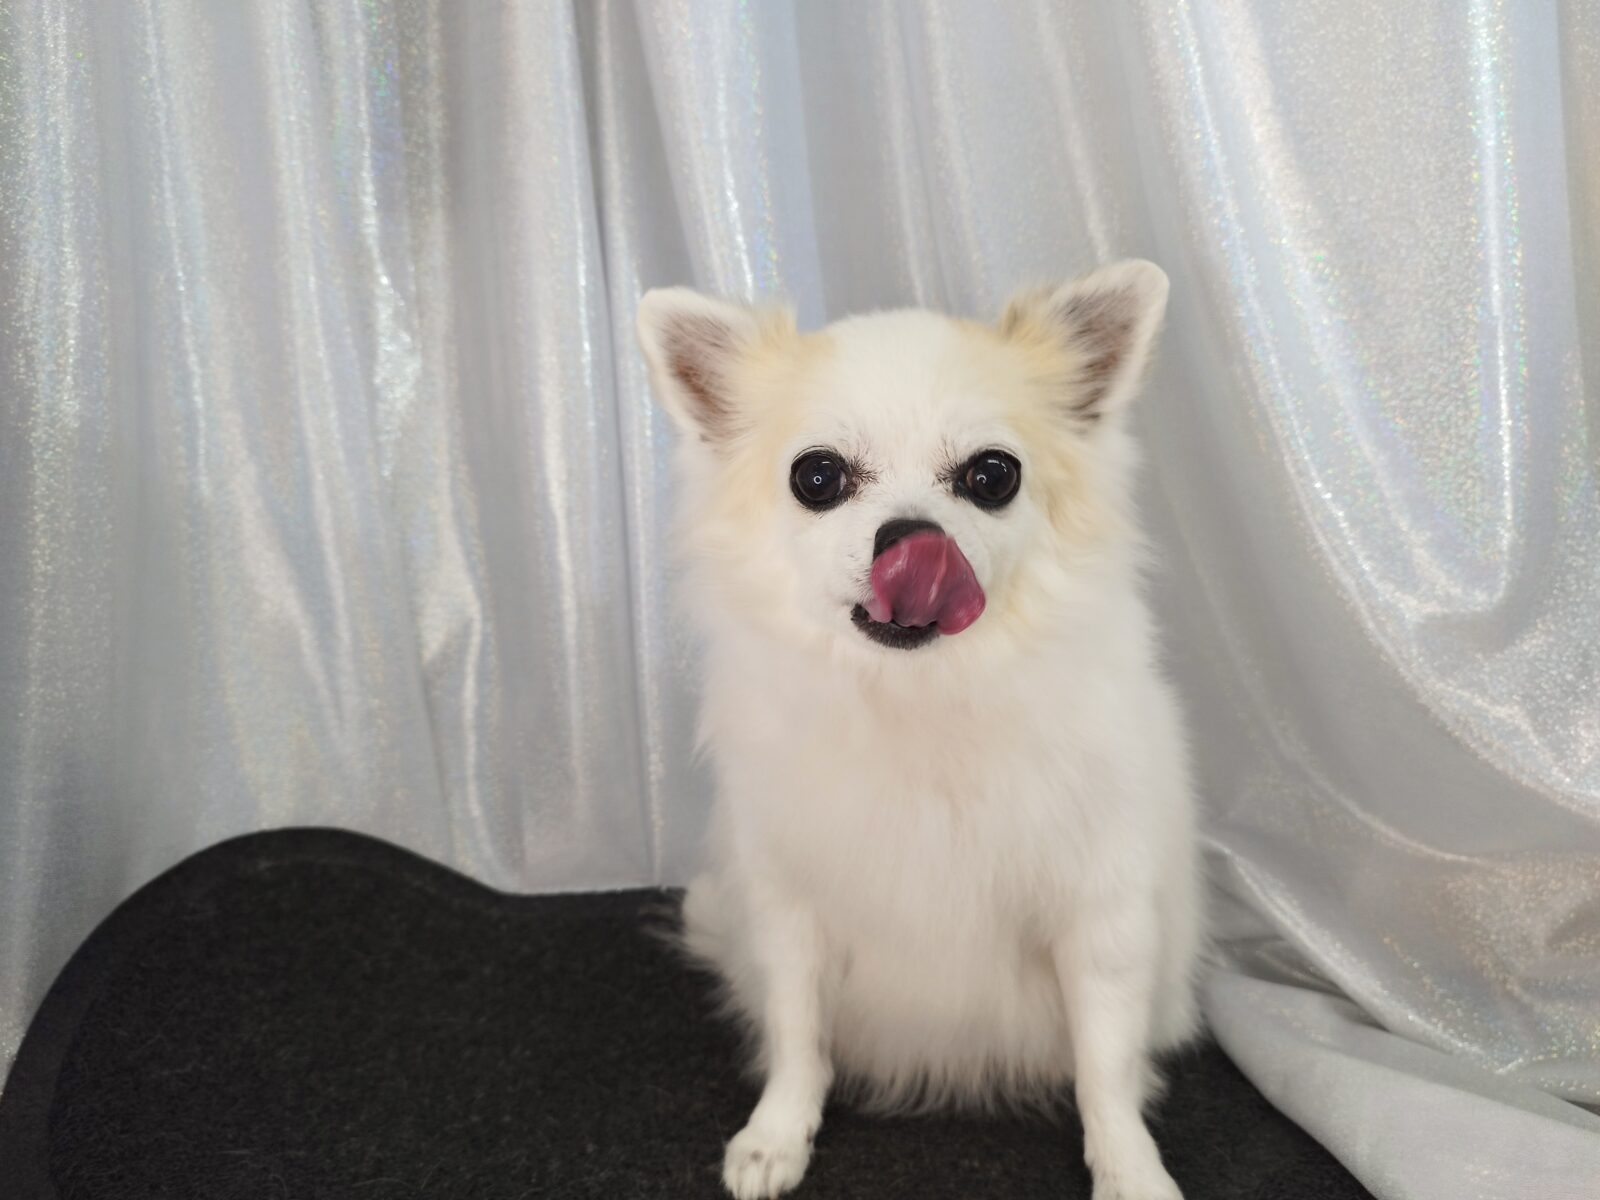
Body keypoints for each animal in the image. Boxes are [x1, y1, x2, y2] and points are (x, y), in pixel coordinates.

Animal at [636, 260, 1202, 1200]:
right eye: (818, 478)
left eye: (992, 476)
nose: (913, 538)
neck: (920, 699)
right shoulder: (789, 908)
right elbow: (797, 1036)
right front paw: (777, 1135)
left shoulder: (1103, 915)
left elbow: (1105, 1063)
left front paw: (1130, 1169)